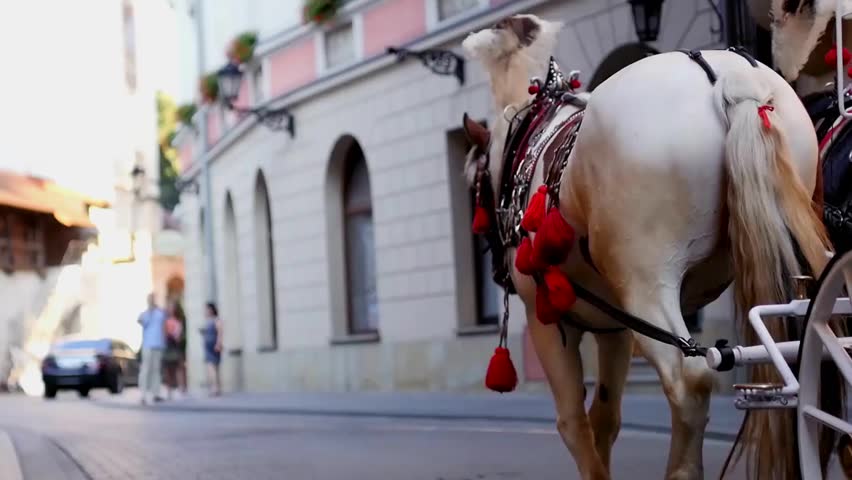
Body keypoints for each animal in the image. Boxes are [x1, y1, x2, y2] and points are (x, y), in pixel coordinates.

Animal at [459, 13, 842, 480]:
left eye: (472, 182)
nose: (497, 269)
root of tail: (735, 81)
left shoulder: (547, 319)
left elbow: (573, 423)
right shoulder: (614, 328)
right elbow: (604, 418)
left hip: (647, 283)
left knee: (689, 378)